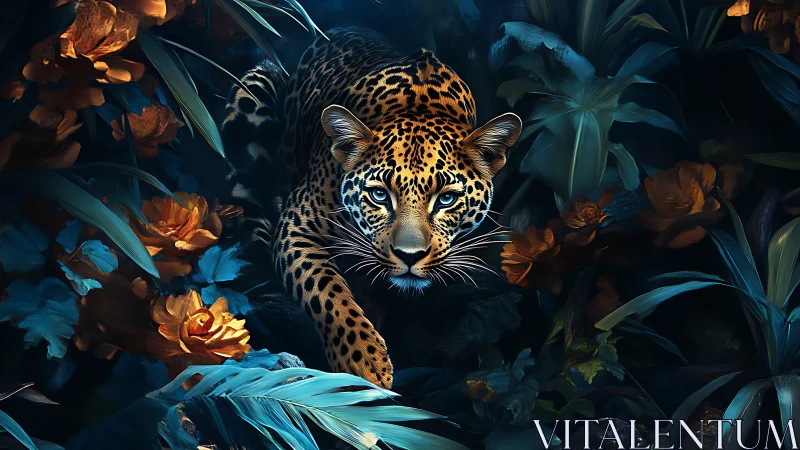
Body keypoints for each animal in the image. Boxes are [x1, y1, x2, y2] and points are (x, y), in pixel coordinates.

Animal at [221, 27, 521, 388]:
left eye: (446, 199)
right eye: (379, 195)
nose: (409, 257)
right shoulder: (297, 224)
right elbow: (324, 288)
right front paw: (364, 360)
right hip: (254, 94)